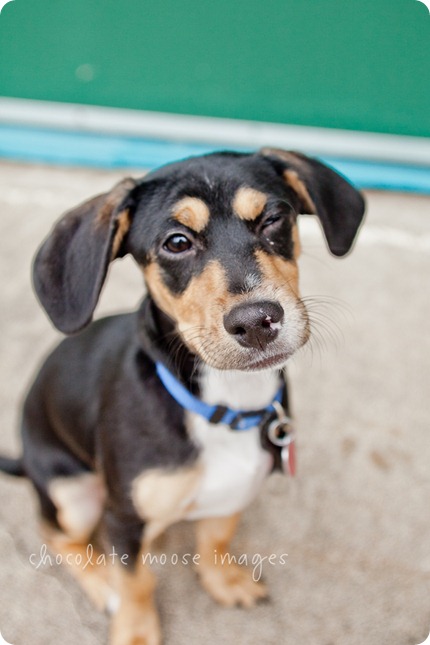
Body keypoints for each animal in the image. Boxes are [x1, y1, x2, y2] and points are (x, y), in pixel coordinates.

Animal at [0, 148, 364, 644]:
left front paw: (222, 580)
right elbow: (136, 581)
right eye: (176, 242)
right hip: (72, 492)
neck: (224, 404)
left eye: (274, 218)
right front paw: (134, 631)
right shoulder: (123, 517)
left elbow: (215, 539)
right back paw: (102, 583)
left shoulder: (234, 492)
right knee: (57, 537)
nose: (256, 322)